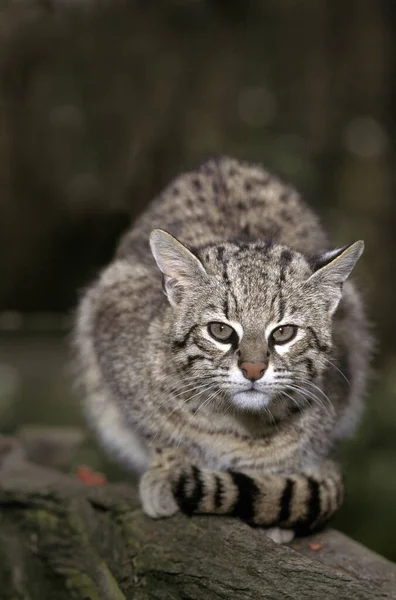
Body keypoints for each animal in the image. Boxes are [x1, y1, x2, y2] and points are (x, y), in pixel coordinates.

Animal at [73, 157, 372, 540]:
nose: (254, 370)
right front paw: (170, 466)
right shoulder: (111, 324)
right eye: (220, 330)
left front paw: (272, 487)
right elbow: (156, 428)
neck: (238, 423)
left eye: (284, 333)